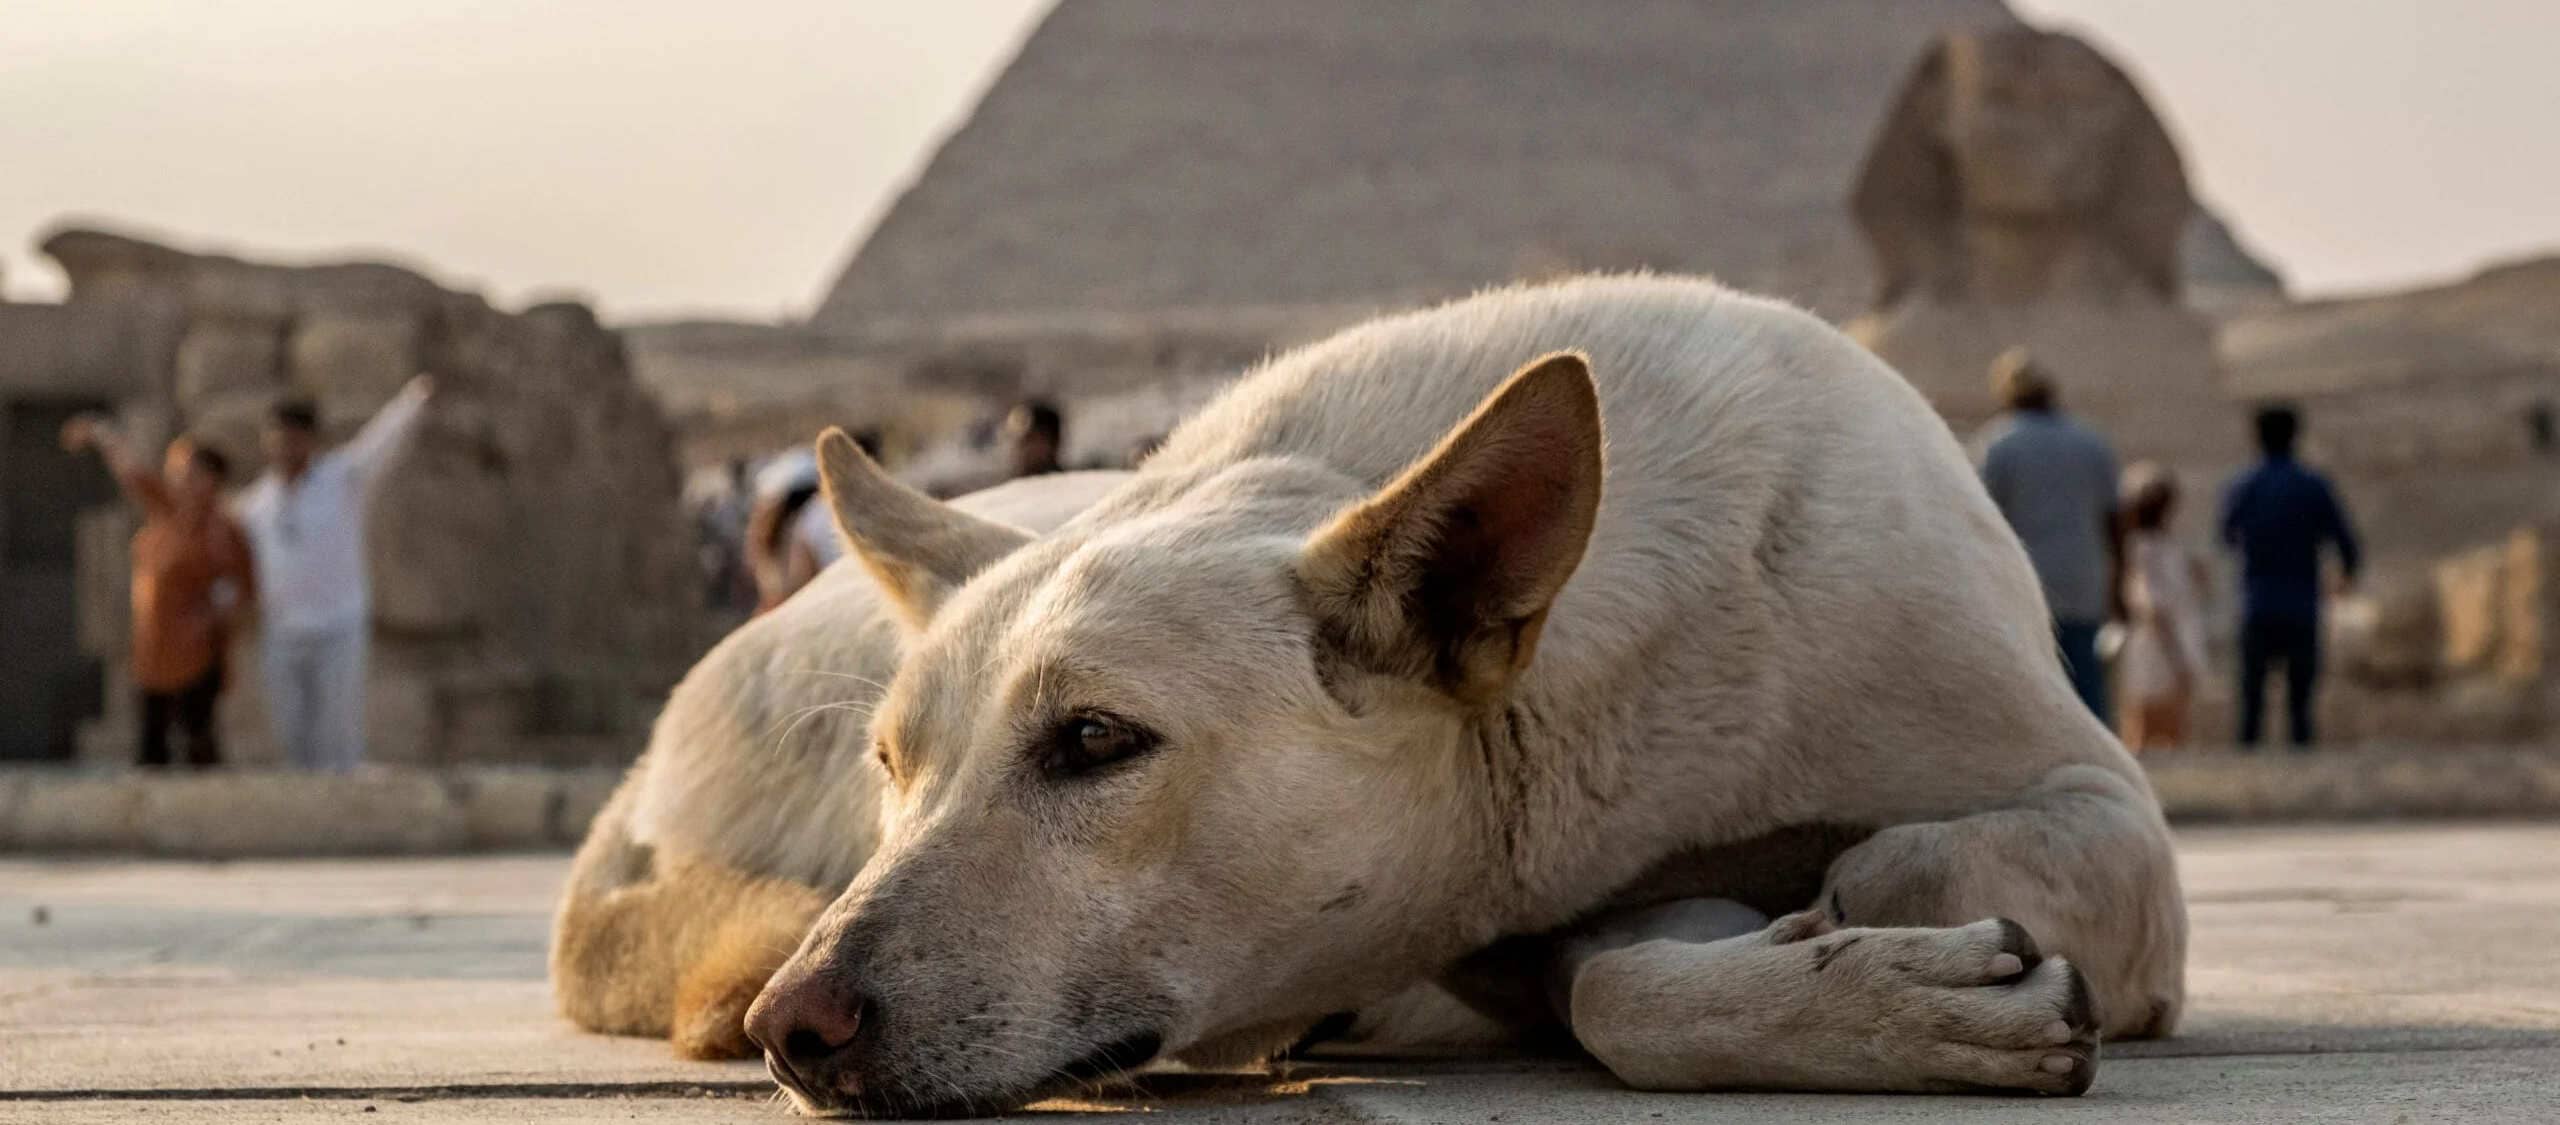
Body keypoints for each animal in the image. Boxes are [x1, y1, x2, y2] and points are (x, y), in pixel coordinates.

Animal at [555, 275, 2181, 1117]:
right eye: (895, 769)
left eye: (1095, 741)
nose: (797, 1027)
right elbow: (1615, 986)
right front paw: (1878, 992)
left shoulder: (2108, 814)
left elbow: (1896, 857)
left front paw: (1869, 949)